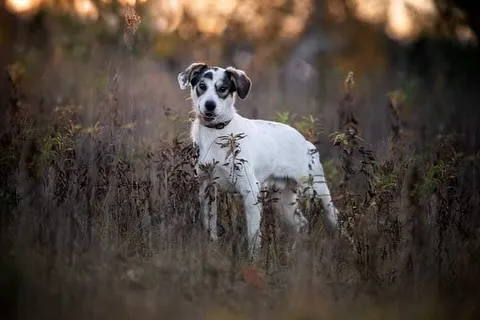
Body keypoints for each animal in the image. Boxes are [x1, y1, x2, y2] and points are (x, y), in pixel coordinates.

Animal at [178, 62, 340, 260]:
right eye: (202, 85)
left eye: (223, 89)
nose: (210, 105)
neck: (216, 132)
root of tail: (306, 142)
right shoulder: (207, 187)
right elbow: (210, 226)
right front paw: (211, 249)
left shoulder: (250, 191)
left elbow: (253, 236)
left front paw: (253, 261)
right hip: (283, 200)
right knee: (301, 224)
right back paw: (295, 254)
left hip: (315, 189)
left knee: (333, 214)